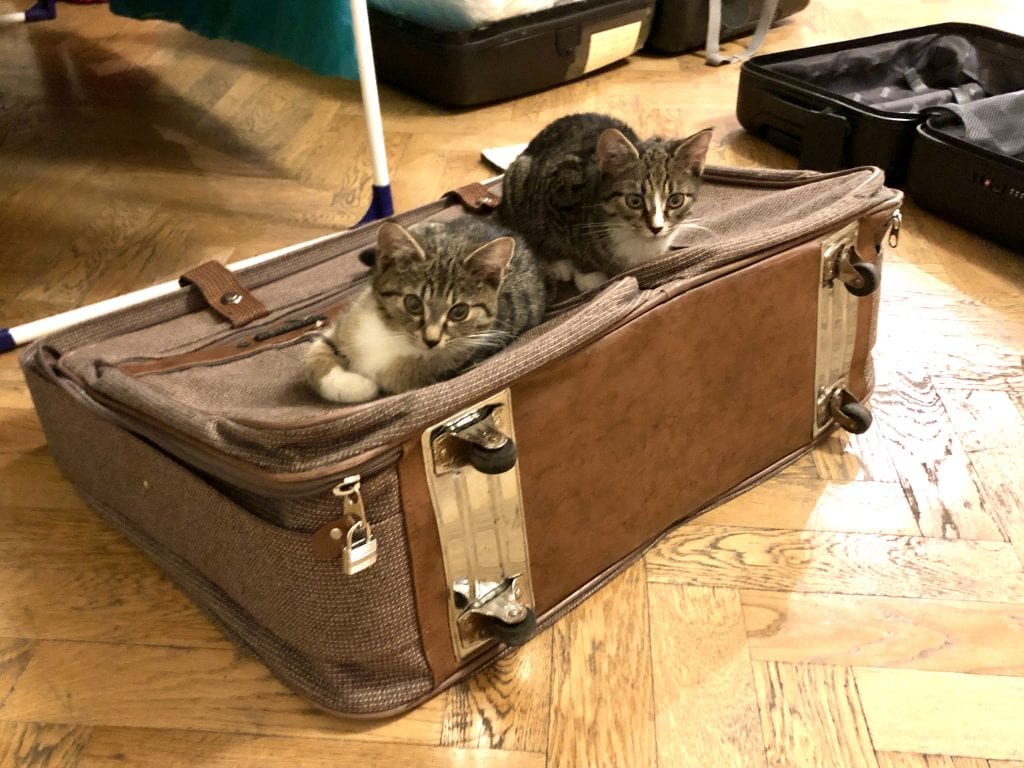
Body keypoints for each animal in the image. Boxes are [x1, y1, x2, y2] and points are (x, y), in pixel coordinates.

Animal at [303, 217, 544, 403]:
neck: (393, 334)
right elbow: (314, 357)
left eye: (459, 312)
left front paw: (365, 385)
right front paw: (355, 385)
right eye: (413, 303)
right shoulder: (345, 324)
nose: (431, 340)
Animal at [497, 112, 712, 292]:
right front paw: (587, 273)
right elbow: (570, 244)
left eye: (675, 199)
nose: (656, 228)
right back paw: (558, 263)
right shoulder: (558, 193)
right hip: (519, 180)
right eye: (634, 201)